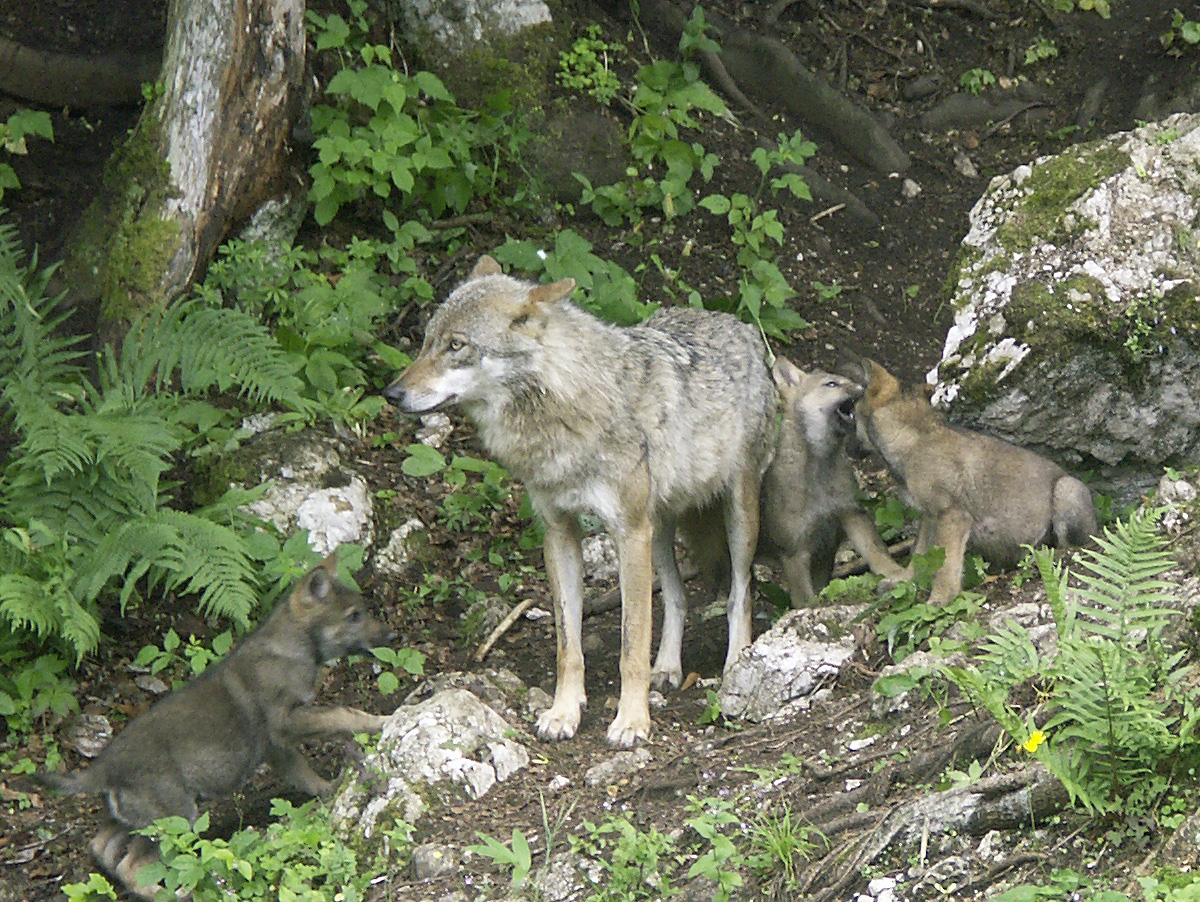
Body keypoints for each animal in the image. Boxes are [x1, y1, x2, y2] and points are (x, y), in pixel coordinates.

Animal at [39, 553, 393, 900]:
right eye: (354, 616)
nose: (391, 637)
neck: (294, 647)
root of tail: (102, 768)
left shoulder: (276, 746)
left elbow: (304, 774)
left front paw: (329, 789)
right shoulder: (286, 722)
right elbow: (342, 715)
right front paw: (381, 722)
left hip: (133, 818)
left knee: (104, 847)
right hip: (173, 815)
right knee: (134, 865)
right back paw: (177, 891)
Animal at [386, 255, 776, 747]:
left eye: (457, 345)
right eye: (426, 341)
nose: (391, 394)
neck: (561, 412)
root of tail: (735, 323)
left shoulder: (627, 532)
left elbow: (631, 646)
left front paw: (631, 721)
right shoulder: (560, 532)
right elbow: (567, 645)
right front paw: (563, 712)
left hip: (736, 517)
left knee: (740, 593)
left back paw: (737, 663)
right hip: (658, 532)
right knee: (676, 596)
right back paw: (667, 667)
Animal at [680, 357, 906, 607]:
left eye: (849, 381)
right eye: (831, 384)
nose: (864, 387)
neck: (820, 475)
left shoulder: (846, 520)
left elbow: (877, 554)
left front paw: (899, 574)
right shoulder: (795, 552)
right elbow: (805, 600)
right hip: (722, 554)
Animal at [855, 359, 1098, 606]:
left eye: (851, 414)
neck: (913, 440)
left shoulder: (952, 514)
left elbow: (946, 566)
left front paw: (940, 600)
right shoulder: (929, 516)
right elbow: (919, 554)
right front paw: (904, 581)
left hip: (1067, 490)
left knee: (1070, 545)